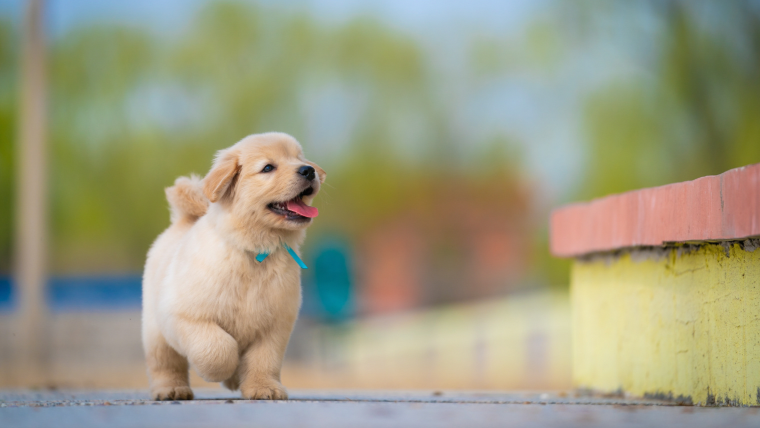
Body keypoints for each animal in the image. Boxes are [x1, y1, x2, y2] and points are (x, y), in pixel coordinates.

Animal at [142, 132, 325, 401]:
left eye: (299, 159)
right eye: (268, 168)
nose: (309, 170)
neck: (255, 251)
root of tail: (184, 220)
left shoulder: (274, 326)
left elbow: (264, 360)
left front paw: (263, 388)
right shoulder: (186, 316)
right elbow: (218, 348)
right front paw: (224, 373)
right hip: (156, 333)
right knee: (165, 365)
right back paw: (171, 390)